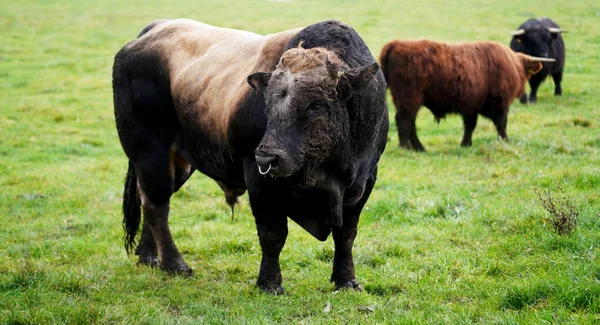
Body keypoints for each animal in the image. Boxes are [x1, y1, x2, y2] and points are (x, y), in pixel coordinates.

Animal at [112, 17, 390, 292]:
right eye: (267, 102)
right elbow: (272, 235)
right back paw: (174, 264)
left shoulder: (364, 181)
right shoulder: (259, 180)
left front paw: (347, 280)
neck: (331, 173)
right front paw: (269, 283)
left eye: (317, 105)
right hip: (150, 154)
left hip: (177, 163)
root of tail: (153, 30)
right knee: (157, 205)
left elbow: (346, 235)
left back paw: (148, 256)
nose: (268, 157)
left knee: (145, 198)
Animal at [380, 39, 552, 151]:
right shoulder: (499, 103)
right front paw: (505, 140)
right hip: (410, 99)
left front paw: (465, 143)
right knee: (405, 121)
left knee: (406, 122)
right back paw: (412, 147)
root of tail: (396, 44)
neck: (514, 64)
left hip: (402, 100)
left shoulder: (472, 107)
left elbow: (470, 126)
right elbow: (501, 123)